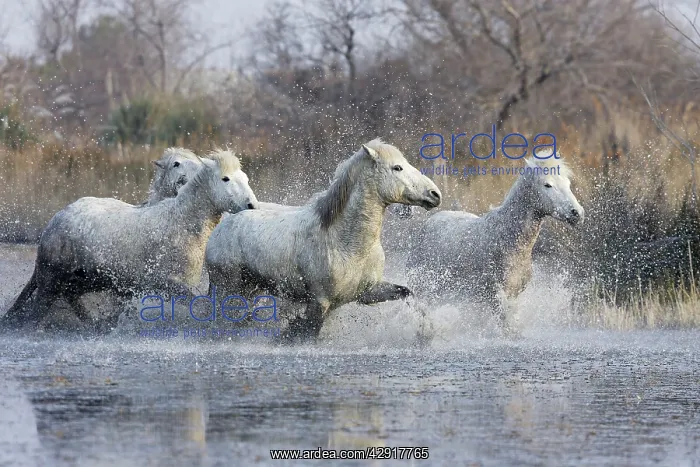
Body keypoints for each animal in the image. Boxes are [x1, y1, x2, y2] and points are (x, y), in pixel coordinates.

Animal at [1, 149, 258, 330]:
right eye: (225, 179)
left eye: (245, 178)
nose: (251, 205)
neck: (180, 223)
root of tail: (55, 220)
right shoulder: (166, 282)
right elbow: (202, 307)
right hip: (50, 280)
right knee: (38, 311)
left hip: (84, 280)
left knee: (73, 299)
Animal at [205, 139, 442, 341]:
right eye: (397, 168)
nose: (435, 194)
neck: (347, 244)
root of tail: (223, 225)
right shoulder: (320, 302)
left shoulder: (368, 292)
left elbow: (407, 293)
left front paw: (426, 332)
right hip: (229, 287)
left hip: (252, 288)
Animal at [406, 155, 584, 330]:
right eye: (547, 184)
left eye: (568, 183)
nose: (577, 213)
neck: (508, 240)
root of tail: (431, 221)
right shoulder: (497, 295)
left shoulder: (514, 296)